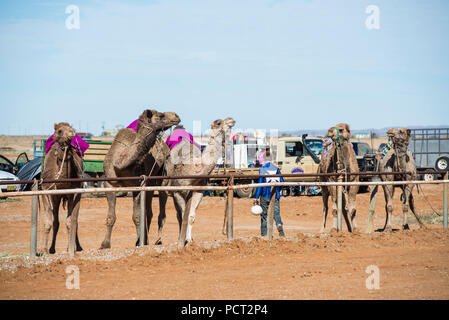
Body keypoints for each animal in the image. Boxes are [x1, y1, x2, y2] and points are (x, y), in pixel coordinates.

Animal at [39, 122, 84, 255]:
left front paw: (70, 249)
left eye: (71, 128)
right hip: (56, 197)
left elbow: (71, 221)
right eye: (59, 131)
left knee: (74, 221)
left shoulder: (73, 192)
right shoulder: (47, 190)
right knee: (56, 221)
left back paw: (78, 247)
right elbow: (49, 222)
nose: (72, 132)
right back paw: (52, 249)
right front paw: (44, 250)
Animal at [100, 109, 180, 249]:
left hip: (164, 177)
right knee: (148, 211)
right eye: (160, 115)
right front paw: (105, 244)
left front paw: (138, 242)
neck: (120, 163)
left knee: (161, 211)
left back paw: (158, 240)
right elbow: (111, 217)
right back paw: (146, 239)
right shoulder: (109, 184)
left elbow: (137, 217)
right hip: (149, 182)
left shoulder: (136, 184)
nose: (176, 116)